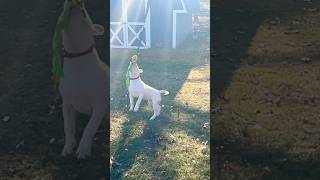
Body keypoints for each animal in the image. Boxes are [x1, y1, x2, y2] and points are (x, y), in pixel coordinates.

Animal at [59, 1, 109, 159]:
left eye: (85, 12)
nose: (78, 2)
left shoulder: (99, 105)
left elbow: (90, 128)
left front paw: (83, 149)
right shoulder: (67, 104)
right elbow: (68, 127)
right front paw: (68, 146)